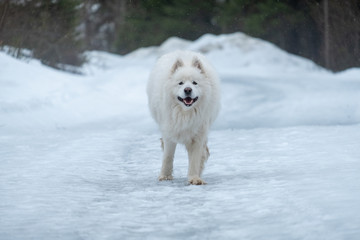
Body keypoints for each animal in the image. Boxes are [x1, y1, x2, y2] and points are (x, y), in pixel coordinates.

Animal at [147, 50, 221, 186]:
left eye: (194, 83)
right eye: (180, 83)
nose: (187, 90)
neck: (185, 114)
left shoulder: (198, 134)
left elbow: (195, 158)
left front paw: (194, 178)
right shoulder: (170, 132)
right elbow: (168, 156)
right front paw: (165, 176)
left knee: (204, 152)